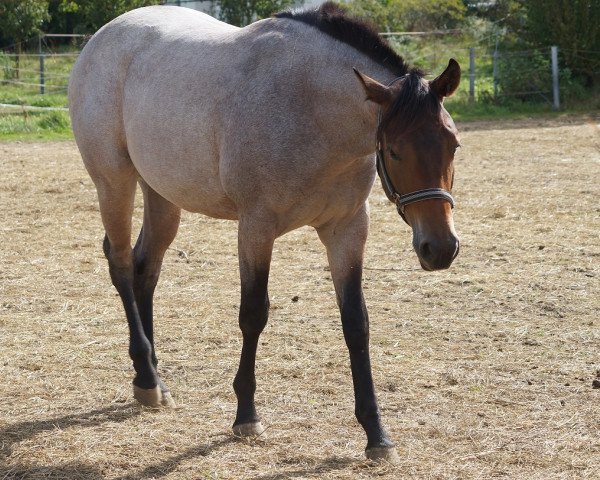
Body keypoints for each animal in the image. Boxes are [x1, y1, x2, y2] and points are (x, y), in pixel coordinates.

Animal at [70, 1, 462, 464]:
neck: (310, 108)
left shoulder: (348, 230)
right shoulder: (256, 228)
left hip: (163, 194)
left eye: (453, 144)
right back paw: (147, 380)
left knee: (145, 269)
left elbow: (356, 324)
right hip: (114, 182)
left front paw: (376, 434)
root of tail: (101, 39)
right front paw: (246, 416)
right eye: (396, 150)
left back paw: (153, 379)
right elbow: (253, 314)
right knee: (120, 263)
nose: (440, 249)